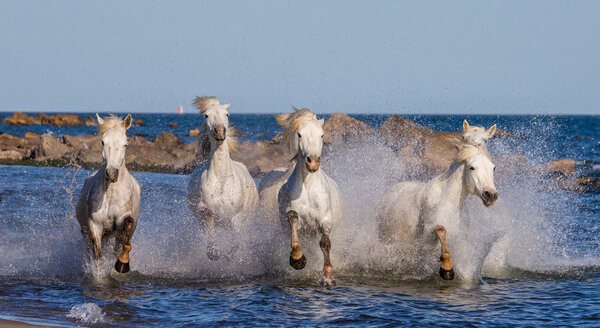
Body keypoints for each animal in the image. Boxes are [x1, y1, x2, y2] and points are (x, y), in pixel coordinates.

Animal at [75, 114, 139, 272]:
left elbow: (127, 235)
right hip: (86, 231)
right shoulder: (95, 226)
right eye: (103, 142)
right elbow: (97, 255)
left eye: (125, 144)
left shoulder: (123, 222)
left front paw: (122, 264)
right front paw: (98, 272)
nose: (111, 174)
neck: (111, 193)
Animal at [185, 96, 255, 260]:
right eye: (206, 115)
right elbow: (210, 232)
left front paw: (229, 256)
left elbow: (236, 241)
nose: (220, 133)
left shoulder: (236, 217)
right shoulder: (207, 211)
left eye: (227, 114)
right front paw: (214, 253)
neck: (222, 181)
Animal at [274, 109, 344, 286]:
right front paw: (297, 259)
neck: (307, 186)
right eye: (299, 134)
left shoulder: (324, 220)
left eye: (322, 134)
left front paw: (328, 277)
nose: (312, 162)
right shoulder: (295, 218)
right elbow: (293, 222)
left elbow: (325, 243)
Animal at [378, 138, 500, 280]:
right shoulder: (427, 238)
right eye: (472, 167)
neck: (449, 203)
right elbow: (442, 235)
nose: (491, 195)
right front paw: (446, 269)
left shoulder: (459, 237)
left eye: (493, 167)